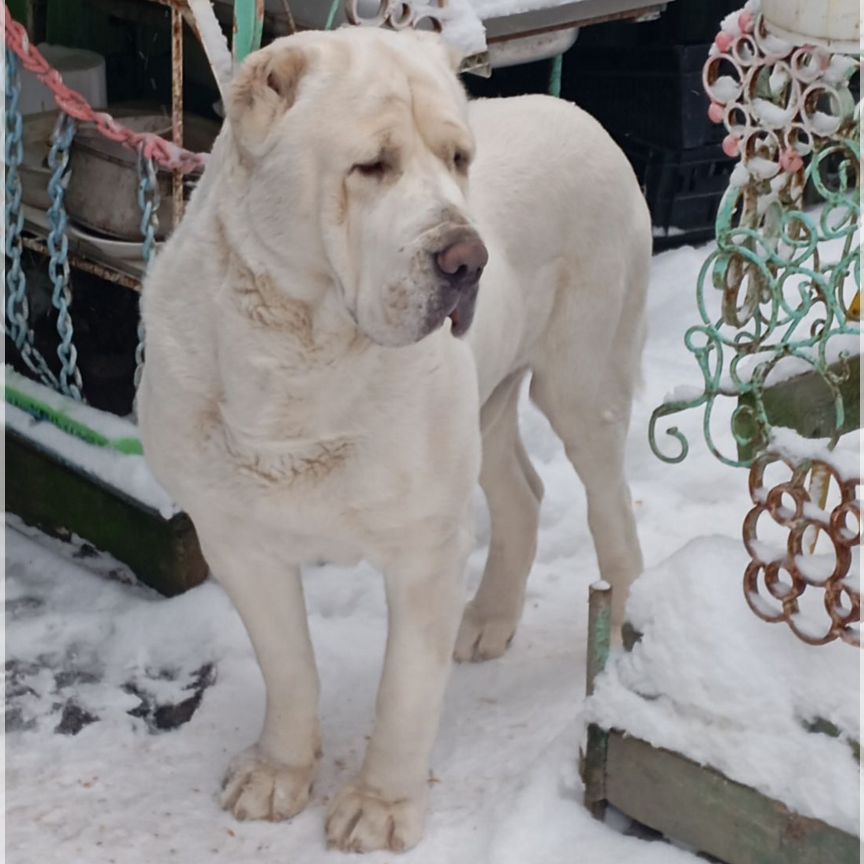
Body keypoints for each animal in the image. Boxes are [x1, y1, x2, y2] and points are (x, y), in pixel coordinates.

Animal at [135, 23, 648, 852]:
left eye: (458, 159)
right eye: (370, 165)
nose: (468, 259)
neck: (300, 359)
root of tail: (580, 113)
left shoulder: (424, 548)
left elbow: (404, 691)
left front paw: (380, 806)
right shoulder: (237, 540)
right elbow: (289, 665)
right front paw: (280, 772)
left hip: (584, 386)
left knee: (613, 516)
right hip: (487, 406)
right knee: (524, 493)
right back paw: (489, 620)